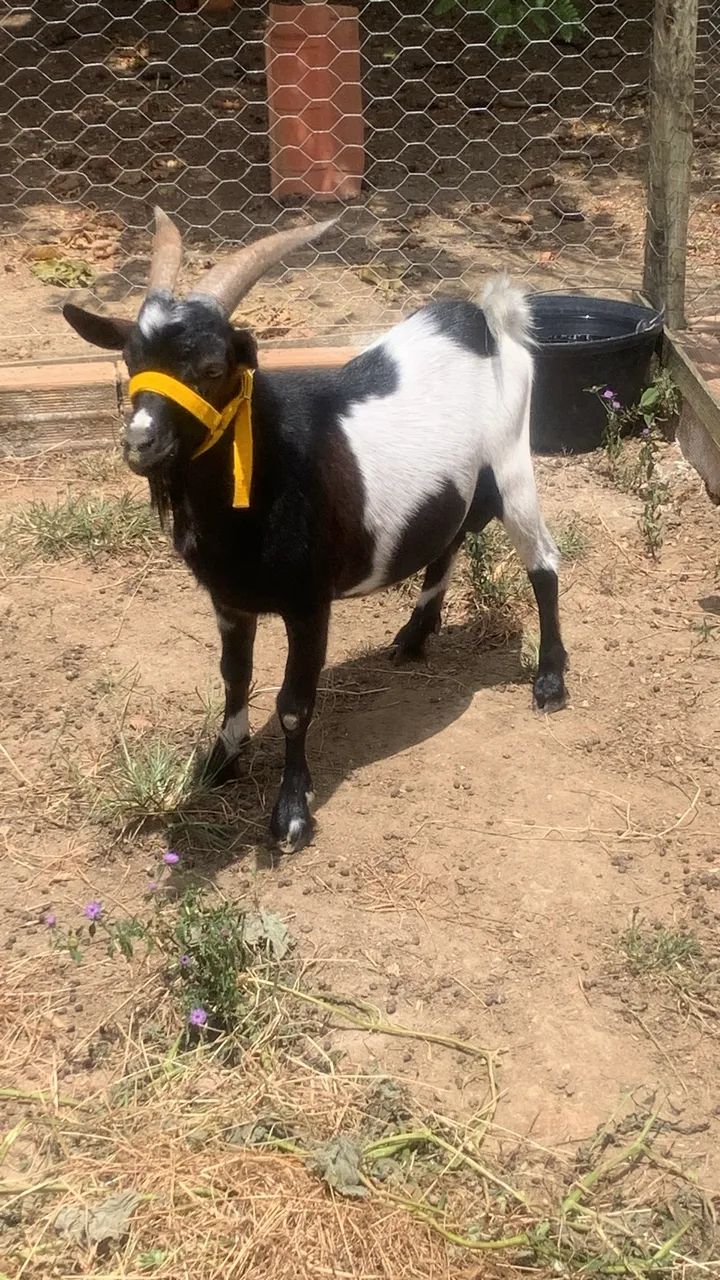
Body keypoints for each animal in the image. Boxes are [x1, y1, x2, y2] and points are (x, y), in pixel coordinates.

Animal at [63, 208, 568, 852]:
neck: (270, 462)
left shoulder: (309, 604)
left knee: (544, 563)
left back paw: (550, 681)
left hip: (511, 464)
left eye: (212, 368)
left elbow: (294, 704)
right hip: (457, 481)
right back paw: (414, 637)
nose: (141, 443)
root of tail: (480, 318)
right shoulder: (229, 600)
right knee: (449, 537)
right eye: (130, 361)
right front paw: (220, 764)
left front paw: (291, 814)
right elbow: (234, 679)